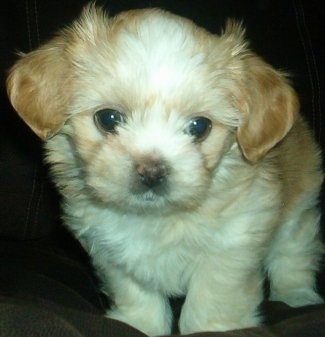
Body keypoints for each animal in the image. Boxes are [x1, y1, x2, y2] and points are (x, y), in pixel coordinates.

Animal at [6, 3, 322, 334]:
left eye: (199, 126)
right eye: (108, 118)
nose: (151, 170)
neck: (157, 217)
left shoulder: (233, 242)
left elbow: (212, 295)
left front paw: (212, 327)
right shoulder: (113, 250)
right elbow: (135, 290)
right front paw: (141, 323)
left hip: (299, 205)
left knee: (293, 254)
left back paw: (297, 296)